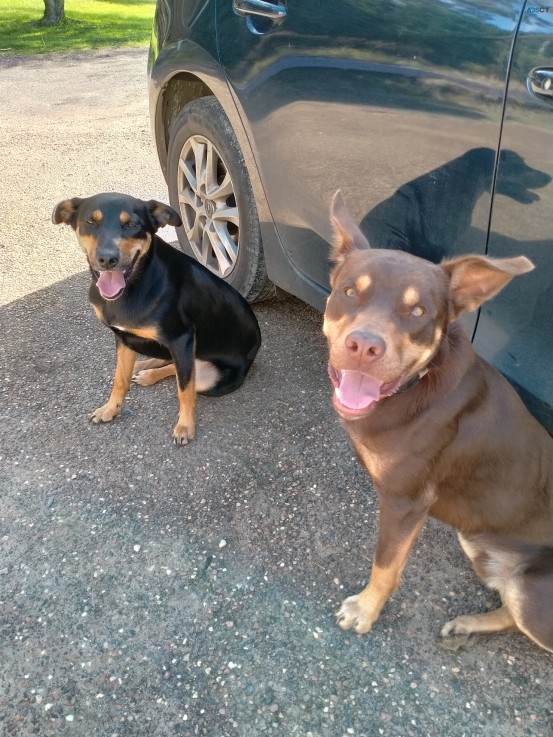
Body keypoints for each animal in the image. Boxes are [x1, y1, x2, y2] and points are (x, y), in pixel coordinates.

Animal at [52, 191, 260, 442]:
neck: (135, 284)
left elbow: (184, 389)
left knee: (189, 374)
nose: (107, 259)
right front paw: (110, 409)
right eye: (90, 222)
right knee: (172, 364)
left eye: (131, 224)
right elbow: (119, 379)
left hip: (211, 378)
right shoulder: (123, 338)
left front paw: (185, 426)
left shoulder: (182, 338)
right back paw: (144, 369)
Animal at [324, 188, 552, 648]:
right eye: (349, 292)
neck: (413, 385)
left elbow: (386, 565)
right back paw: (467, 625)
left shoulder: (406, 502)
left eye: (418, 312)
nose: (364, 347)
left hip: (534, 590)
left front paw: (365, 610)